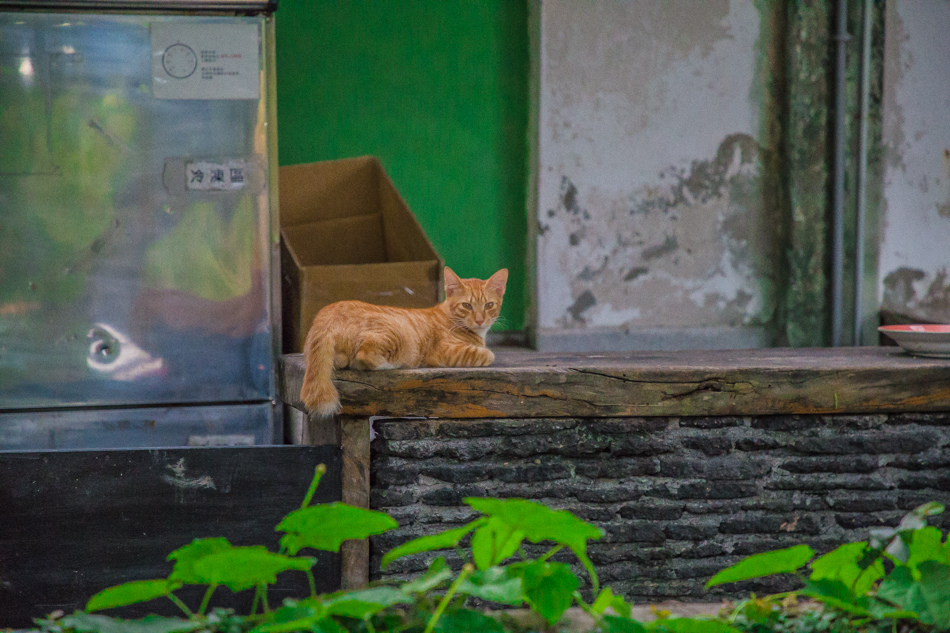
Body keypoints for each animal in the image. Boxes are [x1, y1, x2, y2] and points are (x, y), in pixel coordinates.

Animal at [302, 266, 510, 414]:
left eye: (489, 305)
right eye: (466, 306)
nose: (480, 320)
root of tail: (327, 312)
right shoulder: (444, 352)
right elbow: (488, 355)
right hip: (396, 334)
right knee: (364, 357)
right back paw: (392, 364)